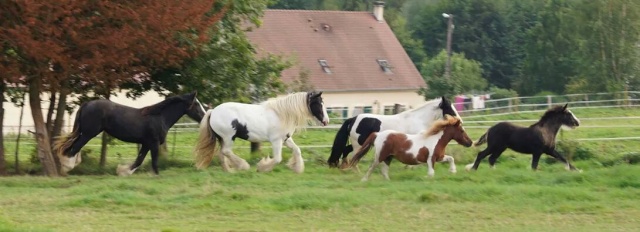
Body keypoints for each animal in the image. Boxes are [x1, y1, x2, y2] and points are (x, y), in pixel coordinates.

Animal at [55, 92, 206, 176]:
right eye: (196, 104)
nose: (204, 116)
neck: (160, 117)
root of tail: (86, 104)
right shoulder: (154, 143)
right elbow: (154, 162)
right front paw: (156, 175)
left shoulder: (146, 144)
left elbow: (139, 160)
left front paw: (123, 171)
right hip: (88, 133)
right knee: (74, 148)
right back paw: (66, 168)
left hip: (84, 133)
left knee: (71, 147)